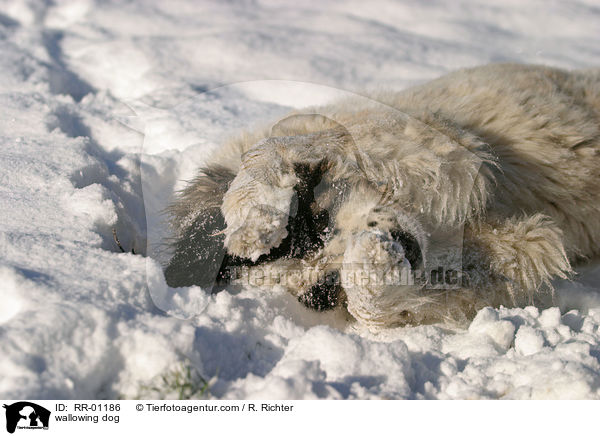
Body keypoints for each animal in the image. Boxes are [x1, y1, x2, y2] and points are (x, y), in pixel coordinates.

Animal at [163, 64, 600, 328]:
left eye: (318, 223)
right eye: (324, 293)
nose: (398, 246)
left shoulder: (426, 137)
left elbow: (274, 150)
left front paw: (252, 221)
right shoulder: (515, 251)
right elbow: (378, 309)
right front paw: (374, 271)